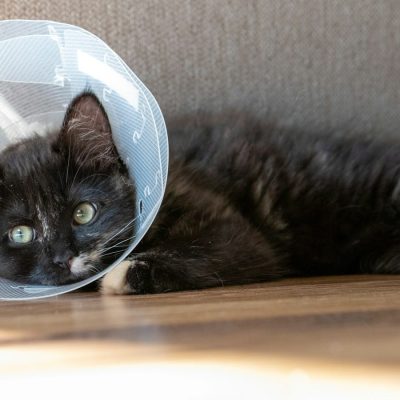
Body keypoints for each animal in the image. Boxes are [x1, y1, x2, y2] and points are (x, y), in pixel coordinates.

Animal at [0, 92, 400, 294]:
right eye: (20, 234)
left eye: (84, 213)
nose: (62, 258)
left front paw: (125, 272)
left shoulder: (231, 230)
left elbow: (208, 248)